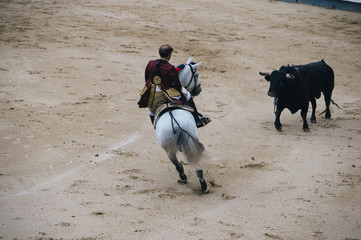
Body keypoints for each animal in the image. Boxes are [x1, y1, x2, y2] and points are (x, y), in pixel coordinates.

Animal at [154, 57, 210, 194]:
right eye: (196, 74)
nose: (199, 90)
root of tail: (176, 125)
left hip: (169, 150)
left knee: (178, 165)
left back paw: (186, 179)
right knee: (193, 167)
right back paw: (202, 186)